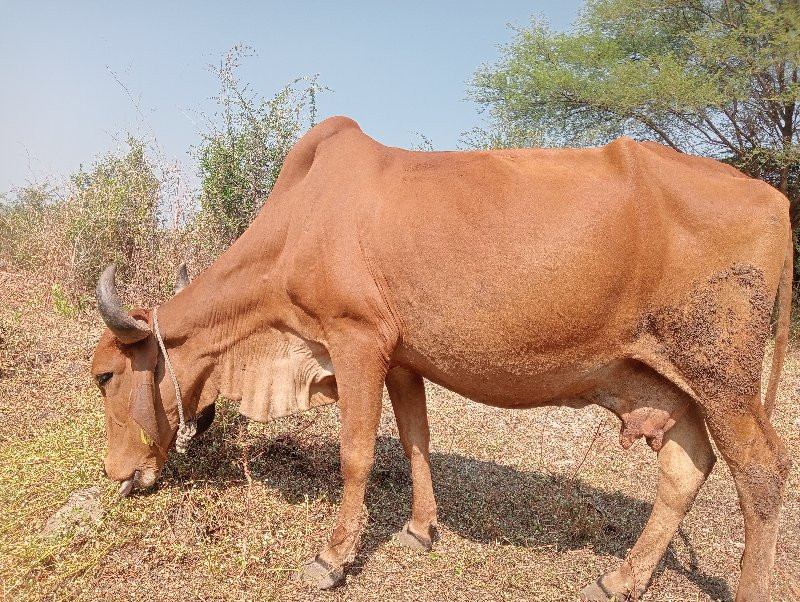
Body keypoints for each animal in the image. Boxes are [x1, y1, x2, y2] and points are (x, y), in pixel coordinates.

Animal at [90, 116, 792, 600]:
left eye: (104, 376)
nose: (116, 473)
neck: (298, 225)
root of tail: (775, 200)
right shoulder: (402, 358)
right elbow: (415, 441)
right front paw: (421, 528)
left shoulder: (356, 341)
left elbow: (357, 453)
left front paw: (333, 557)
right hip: (659, 377)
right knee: (687, 464)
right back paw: (621, 578)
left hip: (724, 375)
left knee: (761, 469)